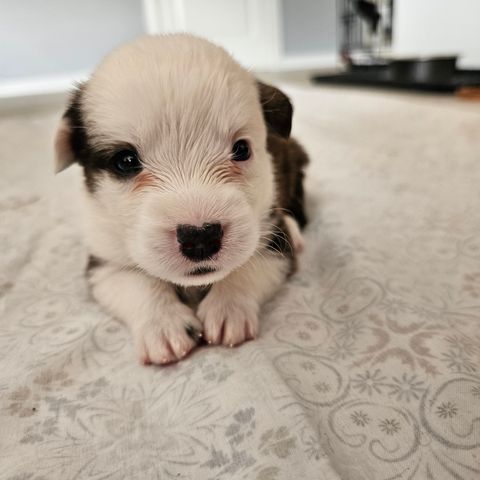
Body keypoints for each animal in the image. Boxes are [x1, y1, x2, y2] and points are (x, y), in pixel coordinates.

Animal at [54, 34, 310, 364]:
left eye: (241, 149)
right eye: (125, 161)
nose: (200, 237)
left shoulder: (272, 242)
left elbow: (250, 265)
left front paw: (229, 306)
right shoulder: (104, 260)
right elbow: (135, 283)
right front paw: (163, 323)